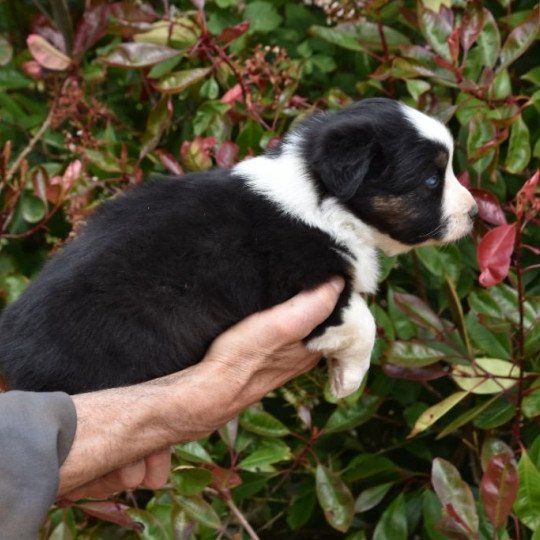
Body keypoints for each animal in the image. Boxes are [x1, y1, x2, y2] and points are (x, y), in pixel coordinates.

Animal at [0, 99, 476, 398]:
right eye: (431, 180)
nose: (474, 213)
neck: (322, 195)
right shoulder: (306, 288)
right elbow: (365, 322)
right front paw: (348, 382)